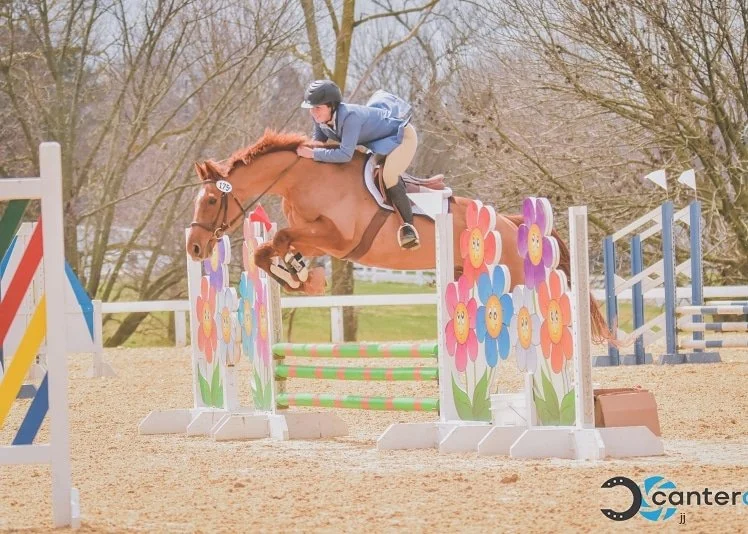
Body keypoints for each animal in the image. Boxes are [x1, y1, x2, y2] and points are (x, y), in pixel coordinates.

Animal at [187, 130, 608, 338]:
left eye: (211, 200)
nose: (194, 247)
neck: (305, 176)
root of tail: (510, 222)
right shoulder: (315, 235)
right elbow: (270, 249)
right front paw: (300, 275)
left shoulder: (338, 239)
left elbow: (280, 239)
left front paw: (301, 277)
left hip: (516, 278)